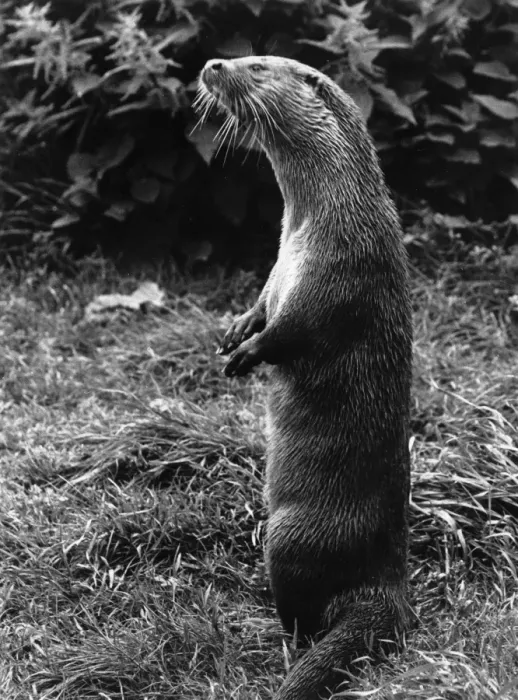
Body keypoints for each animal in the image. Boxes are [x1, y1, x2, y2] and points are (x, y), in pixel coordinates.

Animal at [196, 56, 414, 699]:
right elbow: (263, 302)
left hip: (292, 535)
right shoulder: (277, 265)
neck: (315, 222)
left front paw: (248, 354)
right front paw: (236, 330)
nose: (213, 63)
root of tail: (386, 585)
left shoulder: (339, 272)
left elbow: (296, 331)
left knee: (305, 615)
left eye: (258, 64)